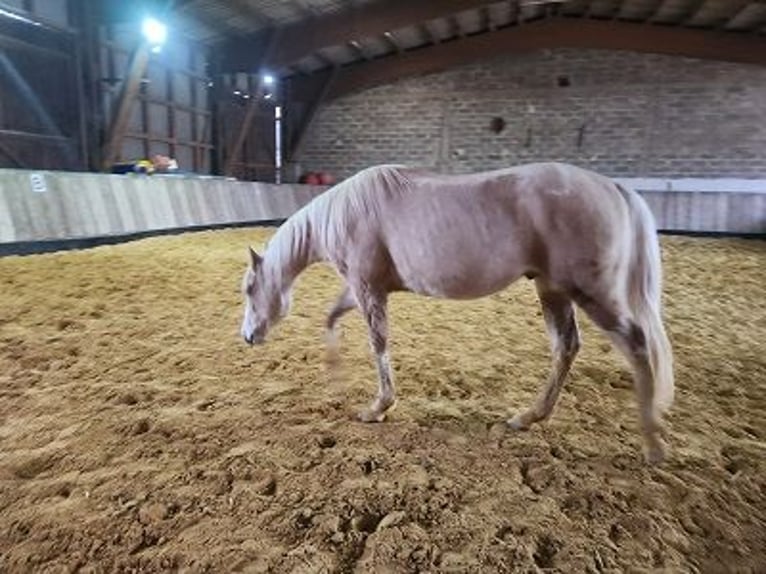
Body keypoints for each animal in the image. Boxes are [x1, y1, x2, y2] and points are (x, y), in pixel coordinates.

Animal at [243, 161, 676, 464]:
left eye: (249, 288)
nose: (247, 336)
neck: (347, 211)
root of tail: (612, 186)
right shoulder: (362, 288)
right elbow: (332, 318)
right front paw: (336, 380)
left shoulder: (368, 289)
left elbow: (378, 344)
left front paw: (378, 407)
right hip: (553, 290)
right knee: (566, 346)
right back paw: (528, 418)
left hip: (591, 293)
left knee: (637, 345)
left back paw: (653, 442)